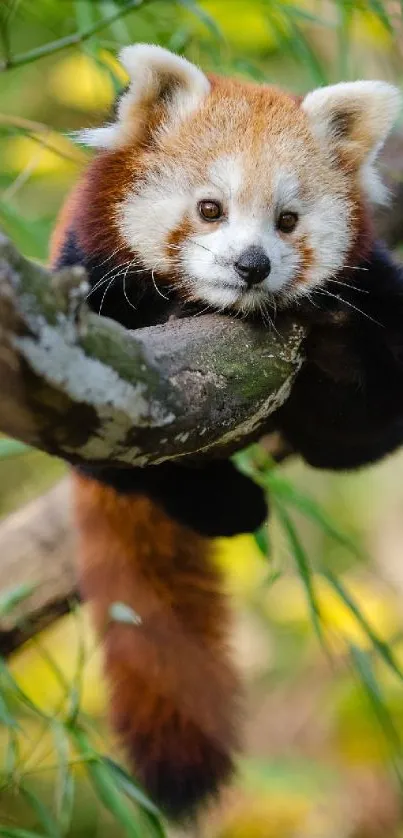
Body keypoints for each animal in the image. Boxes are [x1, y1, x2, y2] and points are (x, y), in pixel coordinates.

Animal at [50, 44, 403, 820]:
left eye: (288, 219)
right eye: (209, 209)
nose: (252, 265)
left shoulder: (377, 292)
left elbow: (361, 431)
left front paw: (332, 339)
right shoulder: (84, 295)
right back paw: (229, 505)